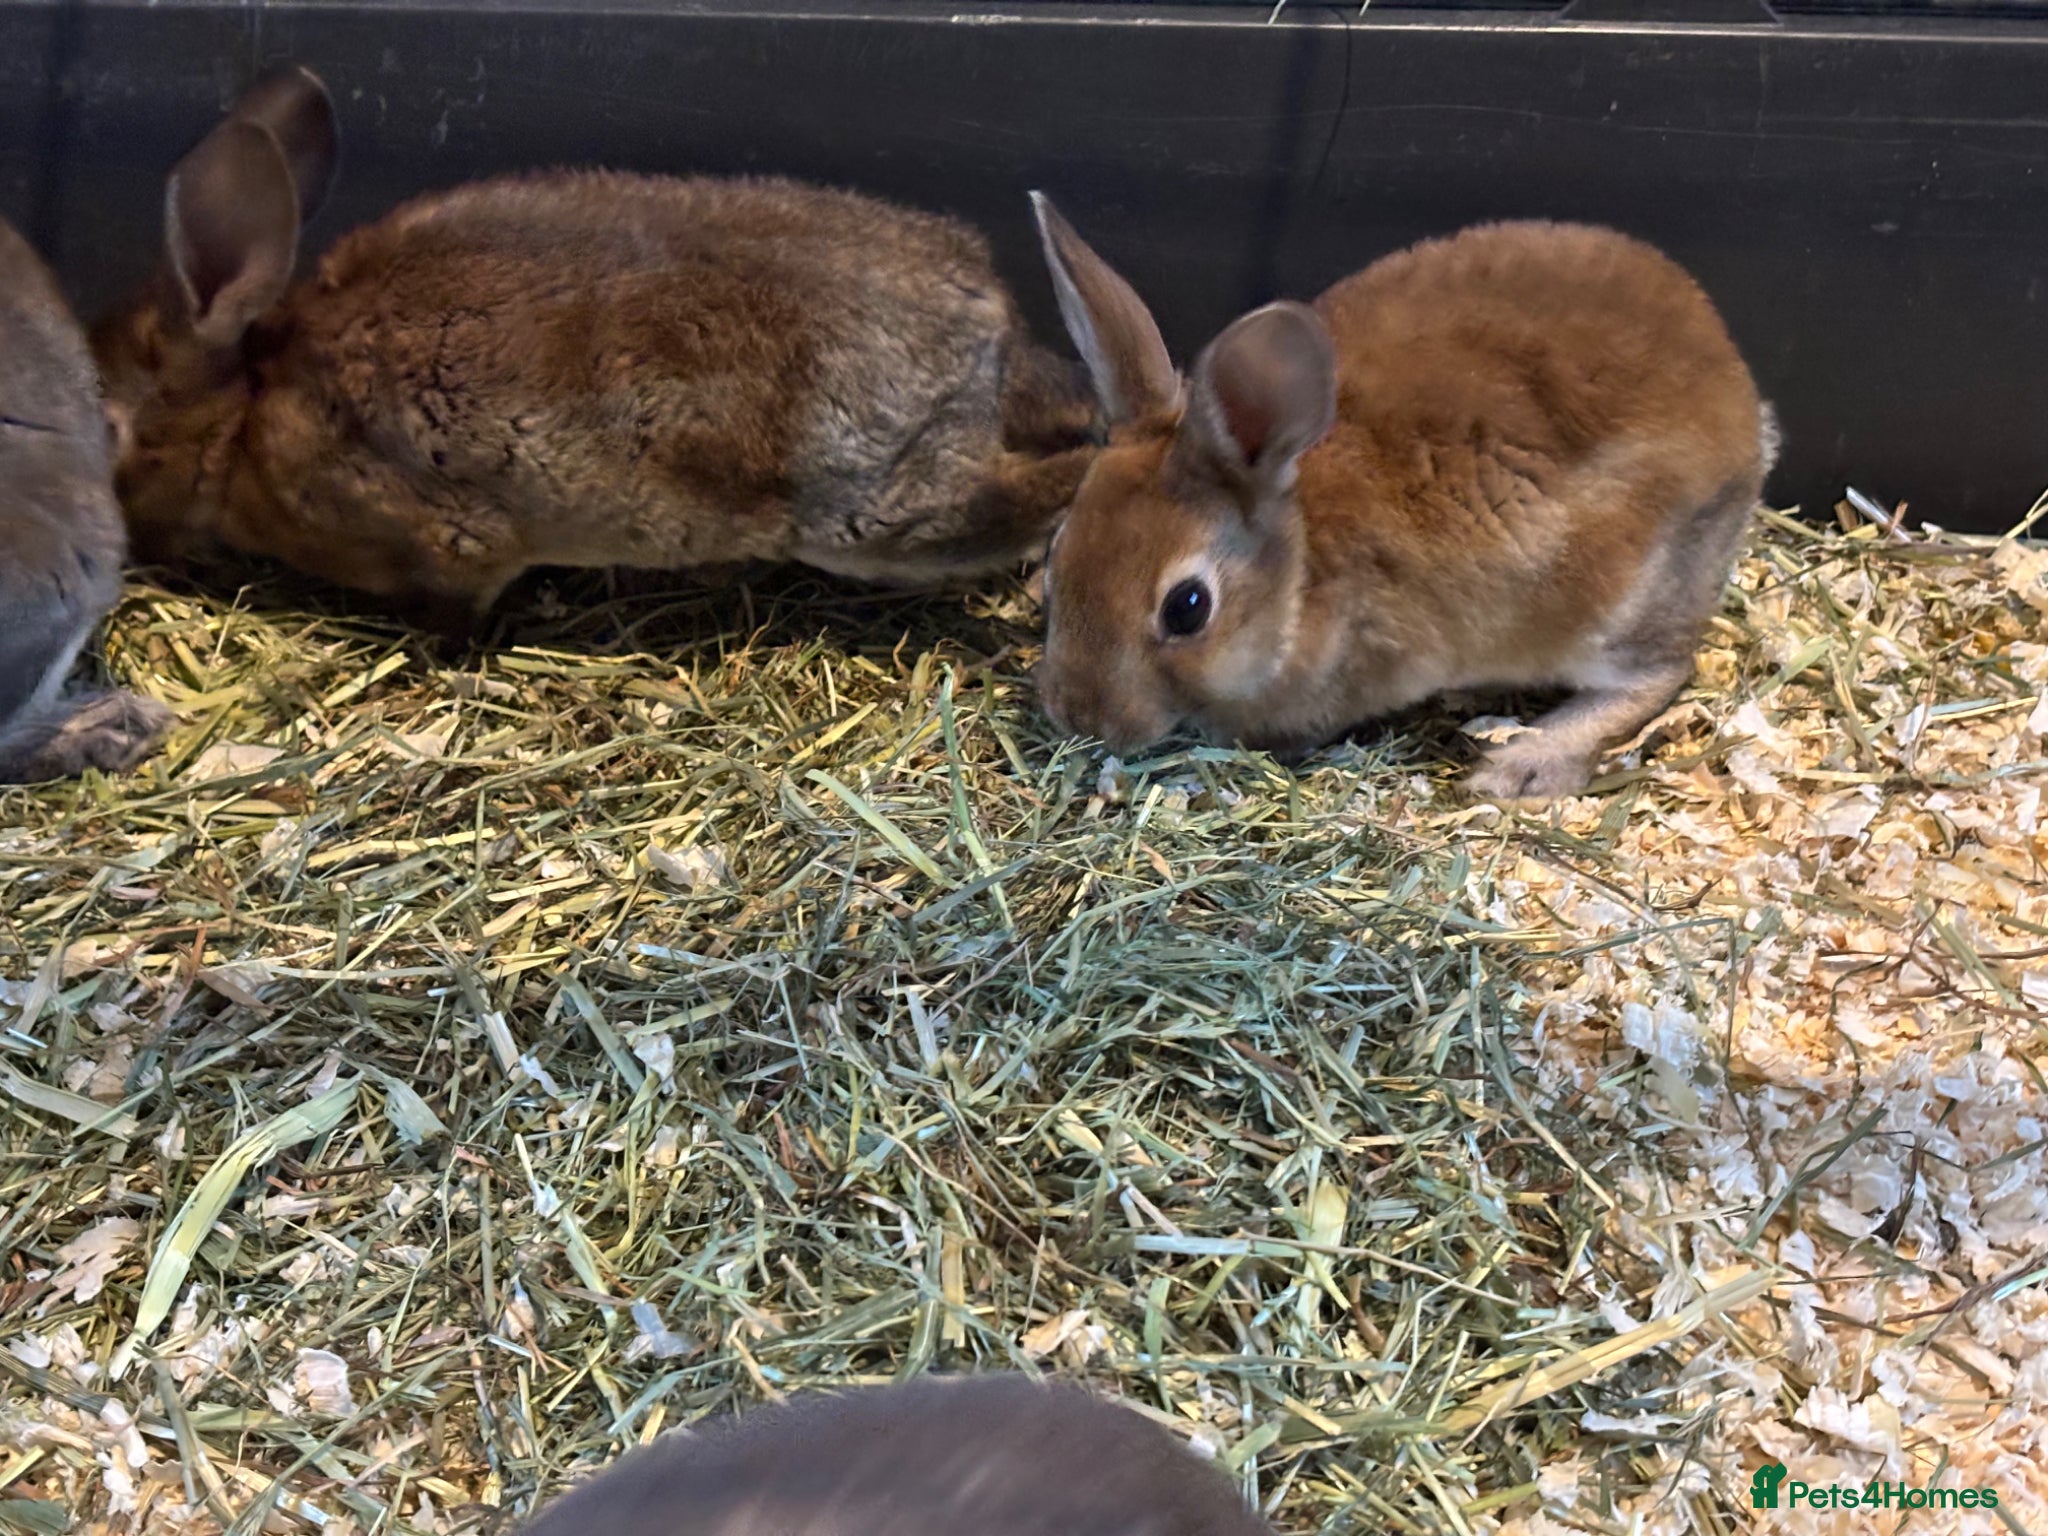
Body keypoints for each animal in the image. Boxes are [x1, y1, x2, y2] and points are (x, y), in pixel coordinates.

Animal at [91, 65, 1101, 641]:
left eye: (106, 429)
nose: (126, 544)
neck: (251, 410)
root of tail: (993, 323)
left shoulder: (453, 544)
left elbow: (455, 605)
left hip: (880, 515)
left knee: (1055, 481)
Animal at [1026, 194, 1777, 802]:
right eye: (1058, 549)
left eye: (1187, 608)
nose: (1077, 715)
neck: (1302, 572)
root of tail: (1746, 409)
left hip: (1618, 603)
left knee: (1660, 671)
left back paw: (1521, 765)